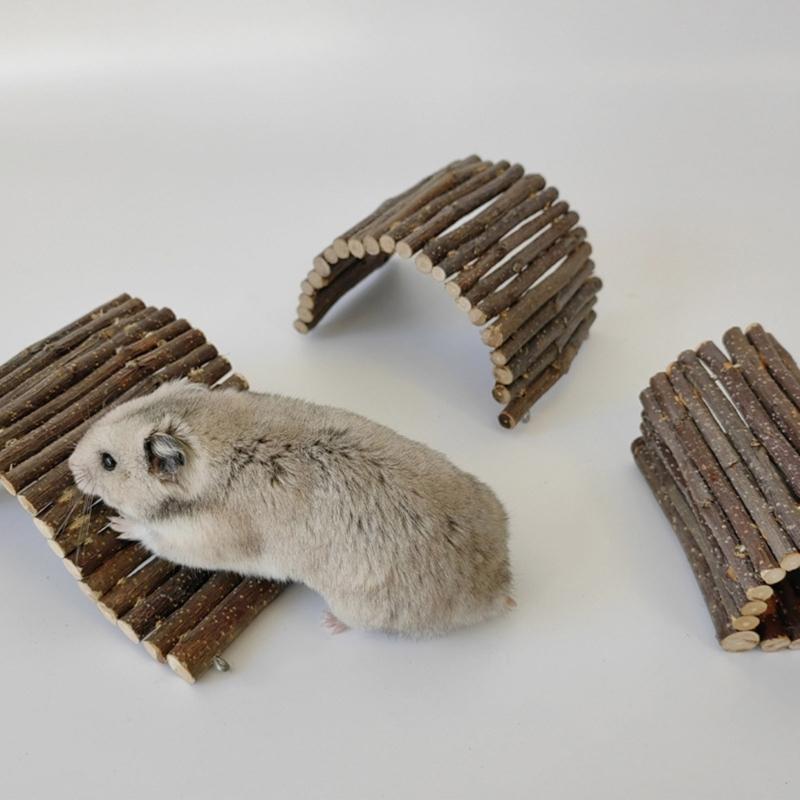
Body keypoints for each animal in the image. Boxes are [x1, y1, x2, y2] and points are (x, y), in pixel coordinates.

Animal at [69, 380, 513, 637]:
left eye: (108, 462)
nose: (70, 466)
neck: (220, 434)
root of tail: (501, 586)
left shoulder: (204, 539)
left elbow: (156, 536)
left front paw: (119, 524)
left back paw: (328, 624)